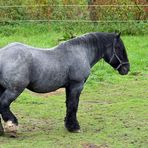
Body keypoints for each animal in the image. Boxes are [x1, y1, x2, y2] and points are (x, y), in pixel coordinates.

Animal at [0, 32, 130, 136]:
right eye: (119, 48)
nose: (126, 69)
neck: (81, 52)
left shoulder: (69, 87)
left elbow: (69, 104)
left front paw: (69, 125)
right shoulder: (77, 86)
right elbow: (73, 105)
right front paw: (74, 127)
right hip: (14, 89)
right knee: (3, 104)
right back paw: (12, 125)